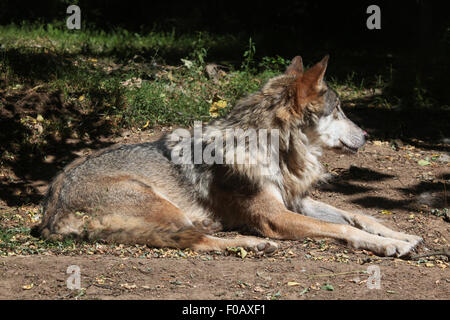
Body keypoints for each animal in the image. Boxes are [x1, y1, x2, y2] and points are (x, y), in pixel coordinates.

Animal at [36, 55, 422, 258]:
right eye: (339, 110)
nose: (368, 135)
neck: (279, 154)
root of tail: (50, 213)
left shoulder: (293, 201)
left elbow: (356, 214)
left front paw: (400, 235)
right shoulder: (276, 217)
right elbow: (339, 227)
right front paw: (387, 245)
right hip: (162, 204)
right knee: (197, 242)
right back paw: (252, 242)